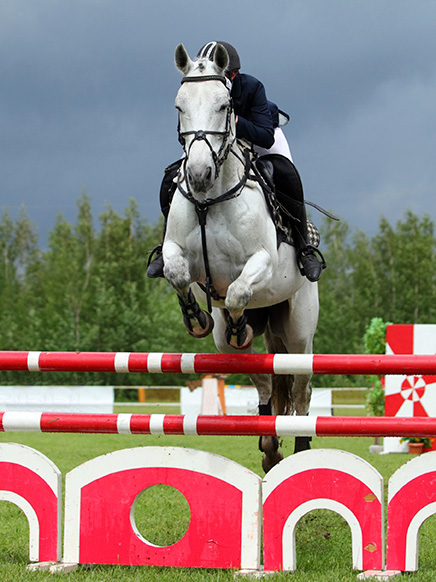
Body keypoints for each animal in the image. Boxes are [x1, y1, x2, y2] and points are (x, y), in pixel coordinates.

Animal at [162, 44, 318, 474]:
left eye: (224, 105)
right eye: (179, 106)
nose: (198, 173)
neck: (209, 200)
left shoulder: (261, 262)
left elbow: (236, 293)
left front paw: (237, 321)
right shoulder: (175, 253)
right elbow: (176, 272)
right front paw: (196, 318)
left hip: (299, 331)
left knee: (301, 390)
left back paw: (299, 451)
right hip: (246, 344)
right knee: (263, 382)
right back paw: (269, 445)